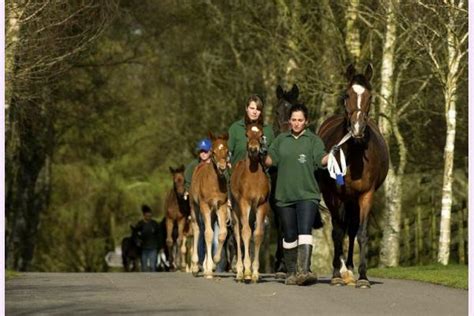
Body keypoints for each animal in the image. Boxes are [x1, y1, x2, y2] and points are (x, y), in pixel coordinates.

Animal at [189, 132, 230, 278]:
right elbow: (207, 234)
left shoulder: (221, 206)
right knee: (197, 229)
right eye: (214, 152)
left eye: (227, 151)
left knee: (210, 228)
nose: (222, 167)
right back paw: (195, 267)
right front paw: (207, 271)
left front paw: (214, 263)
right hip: (195, 207)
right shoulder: (205, 206)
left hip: (212, 213)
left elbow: (221, 233)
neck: (214, 183)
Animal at [318, 64, 388, 288]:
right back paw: (341, 270)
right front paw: (336, 274)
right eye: (346, 95)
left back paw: (349, 267)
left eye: (370, 96)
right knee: (339, 229)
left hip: (353, 200)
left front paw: (363, 277)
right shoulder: (336, 196)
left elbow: (361, 233)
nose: (357, 128)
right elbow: (337, 232)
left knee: (351, 228)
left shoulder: (366, 195)